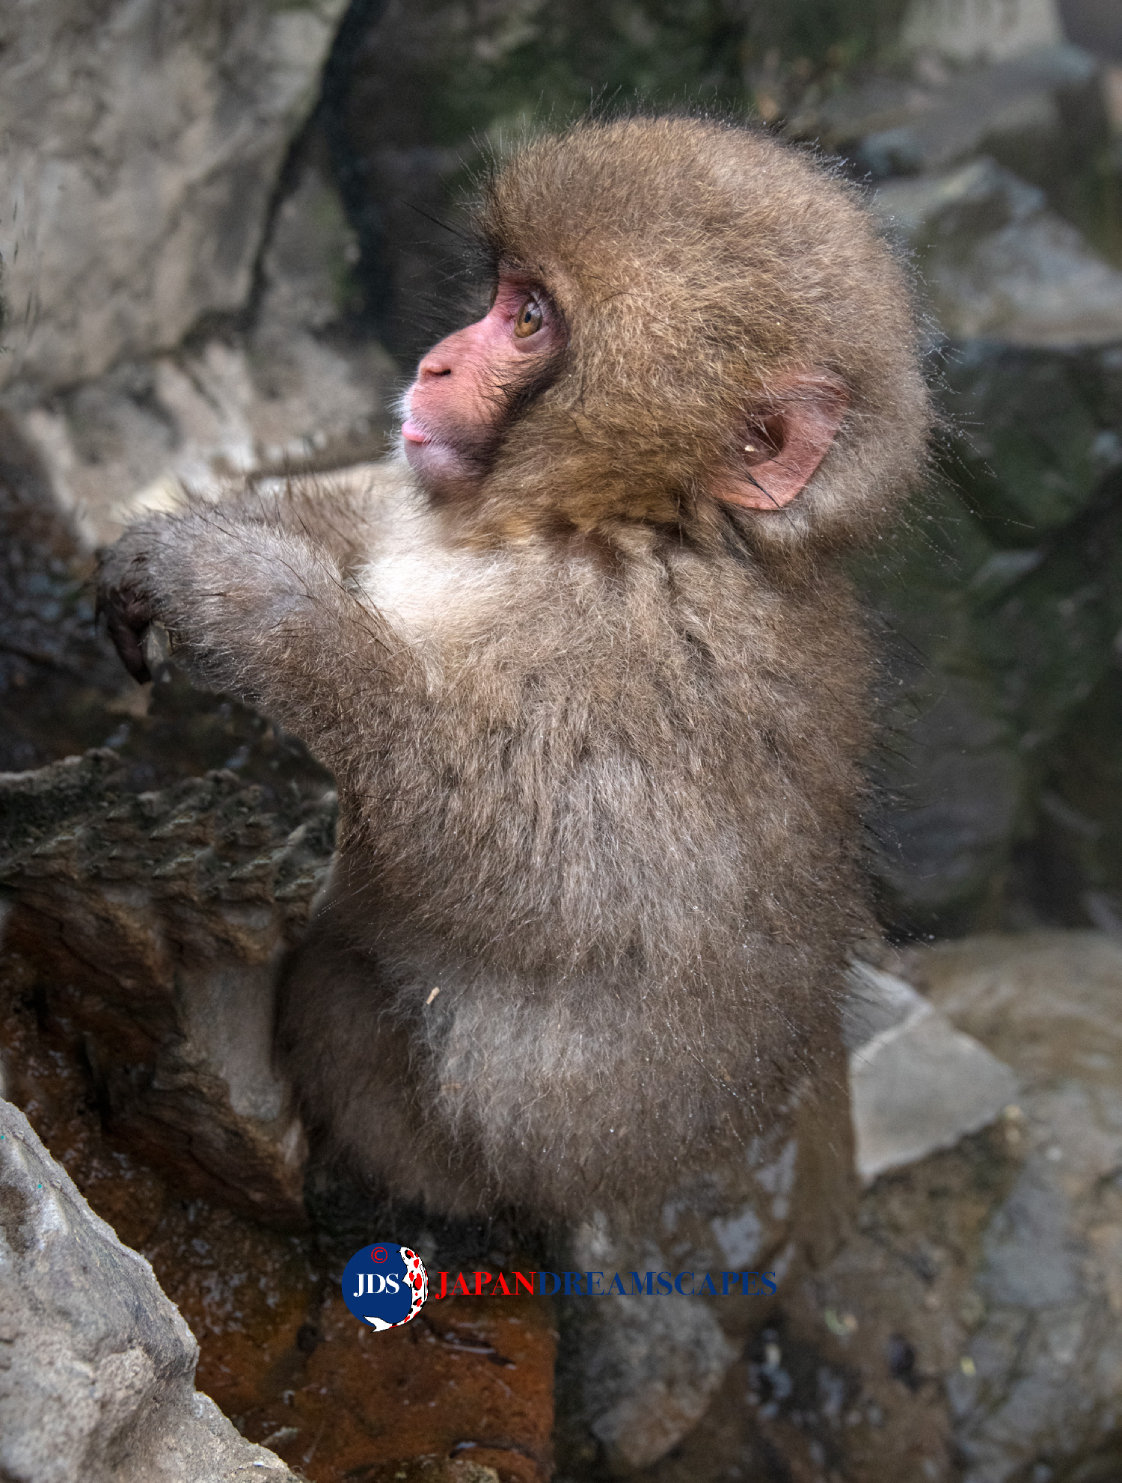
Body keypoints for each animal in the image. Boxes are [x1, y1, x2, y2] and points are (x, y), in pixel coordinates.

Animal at [98, 116, 930, 1226]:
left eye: (530, 319)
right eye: (501, 295)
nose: (436, 362)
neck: (627, 523)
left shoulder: (646, 657)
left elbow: (528, 872)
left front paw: (247, 601)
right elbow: (377, 523)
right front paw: (213, 534)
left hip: (434, 1137)